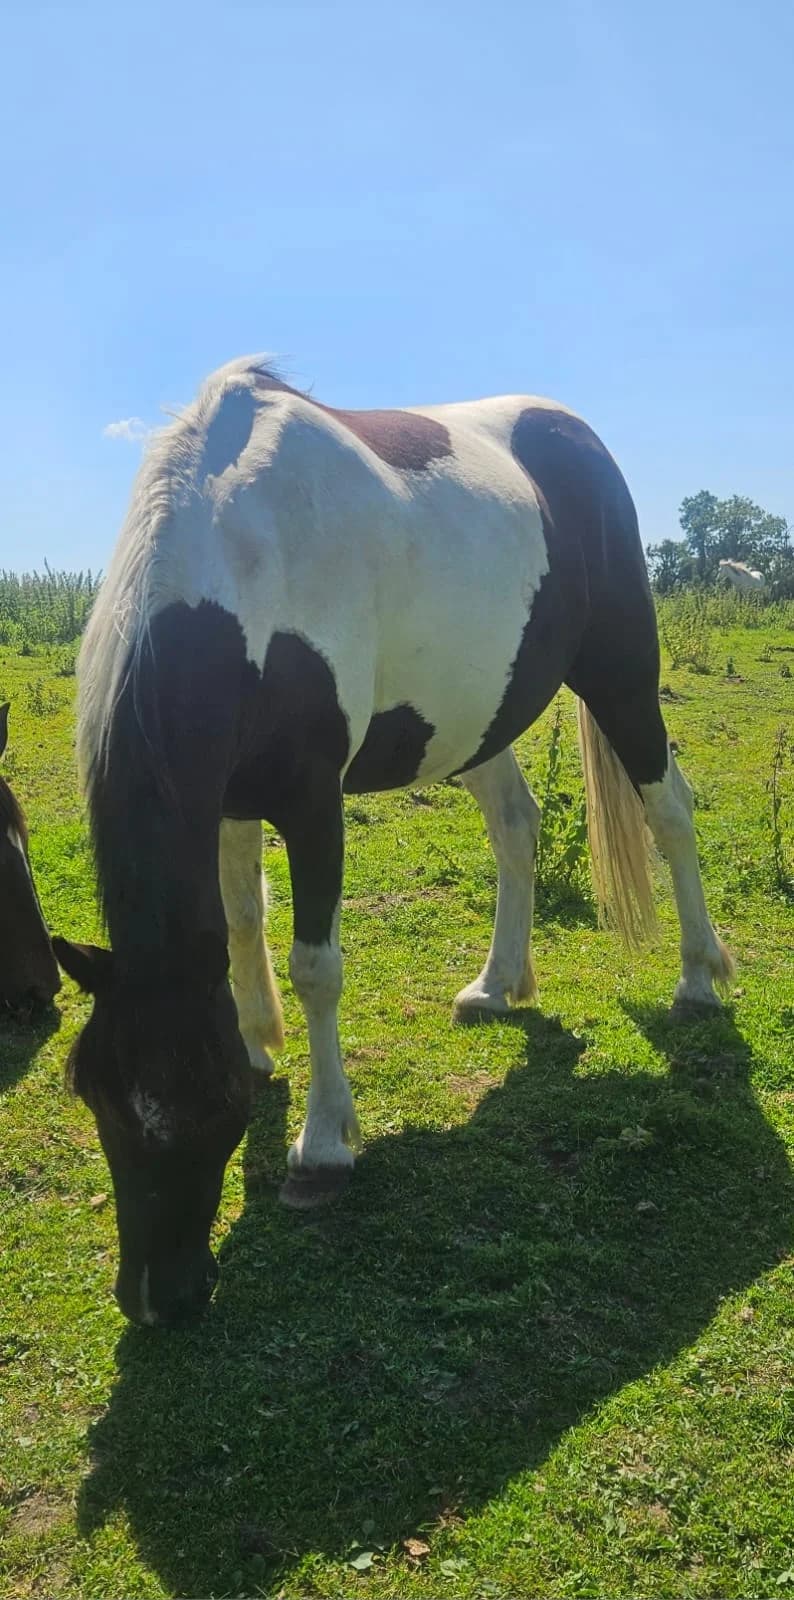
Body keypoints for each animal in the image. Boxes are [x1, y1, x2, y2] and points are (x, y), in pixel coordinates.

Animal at [54, 356, 734, 1327]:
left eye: (200, 1107)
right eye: (95, 1096)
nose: (156, 1302)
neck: (241, 557)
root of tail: (573, 434)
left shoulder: (311, 802)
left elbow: (315, 967)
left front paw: (322, 1146)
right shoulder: (228, 799)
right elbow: (240, 928)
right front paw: (261, 1046)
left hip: (622, 672)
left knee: (669, 809)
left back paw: (697, 979)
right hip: (480, 721)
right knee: (516, 825)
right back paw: (497, 985)